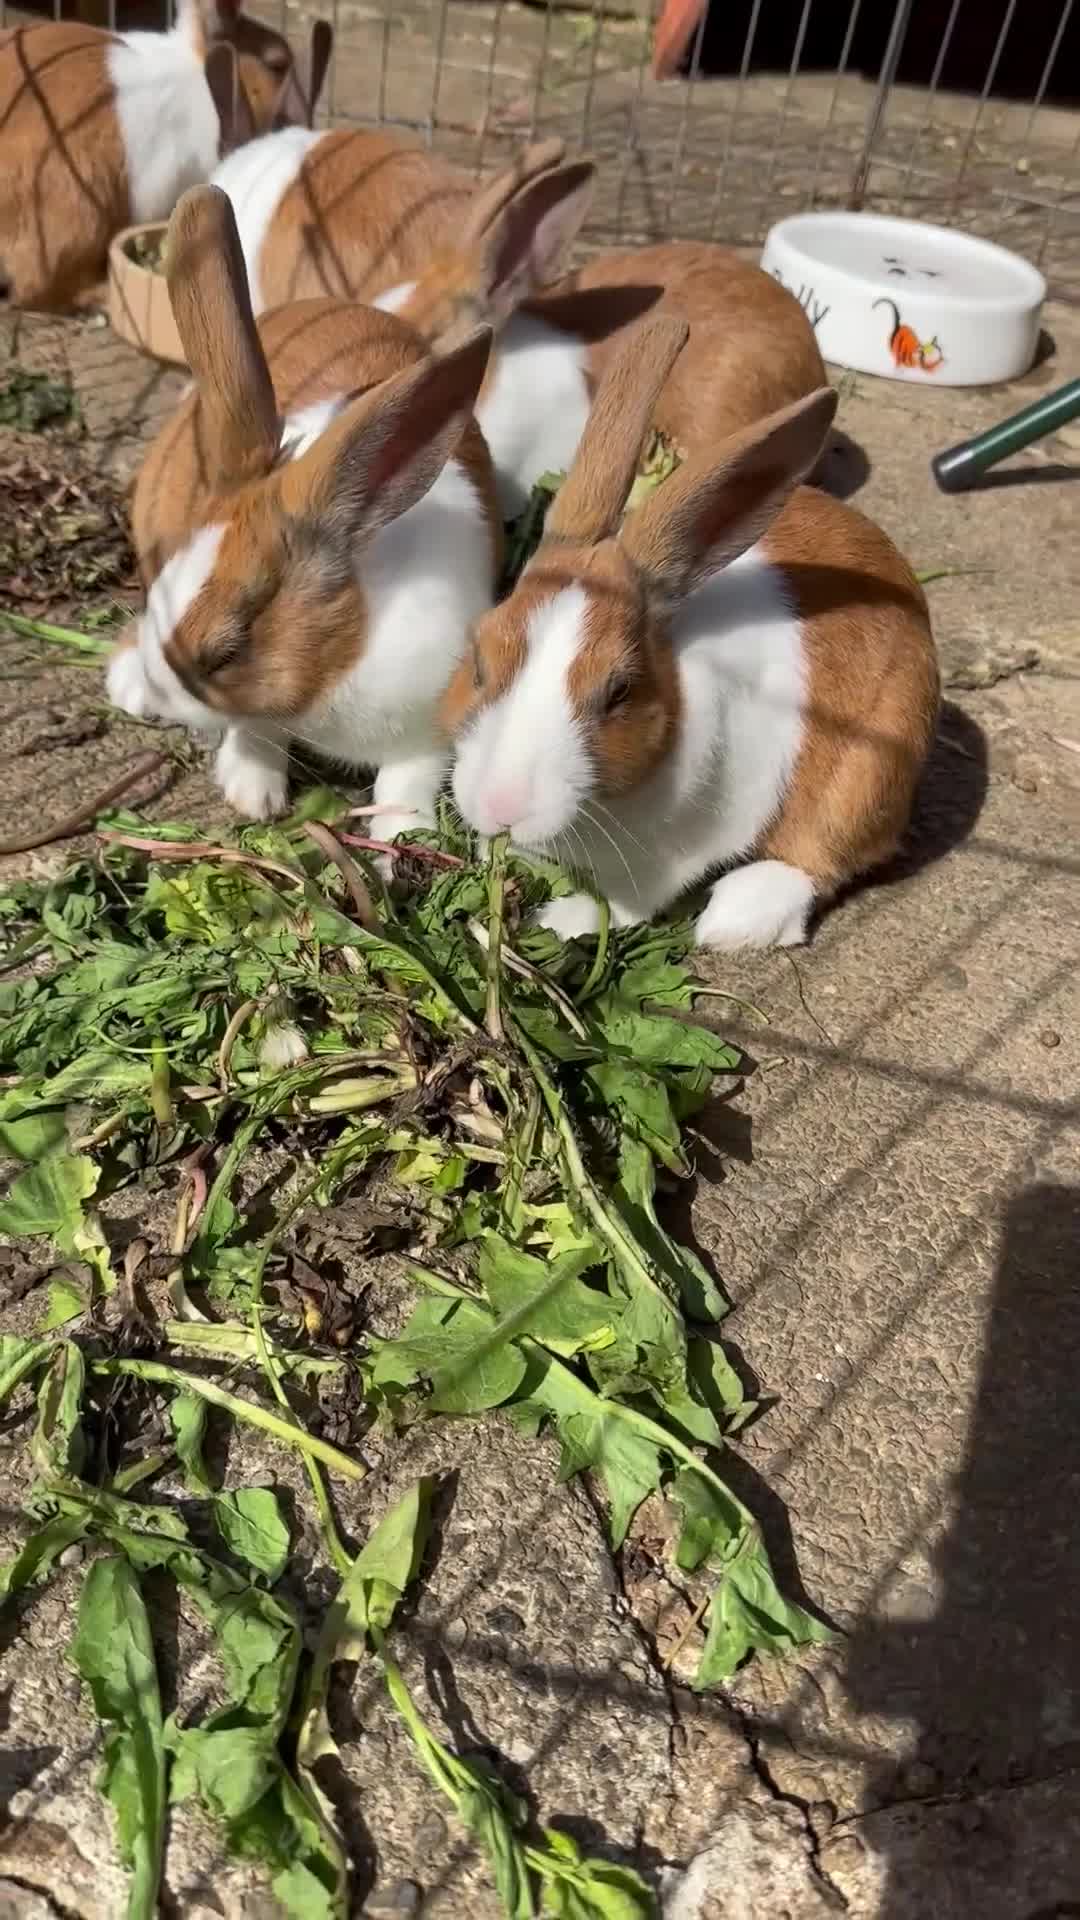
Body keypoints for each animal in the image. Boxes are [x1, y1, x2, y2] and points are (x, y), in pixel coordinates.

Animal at [111, 184, 501, 831]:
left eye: (227, 651)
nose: (165, 696)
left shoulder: (426, 728)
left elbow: (408, 778)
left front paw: (404, 831)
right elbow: (256, 733)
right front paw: (253, 794)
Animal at [444, 312, 940, 951]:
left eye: (619, 691)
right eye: (479, 661)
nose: (502, 806)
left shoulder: (673, 853)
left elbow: (629, 903)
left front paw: (562, 922)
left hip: (869, 775)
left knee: (821, 857)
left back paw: (735, 920)